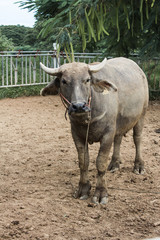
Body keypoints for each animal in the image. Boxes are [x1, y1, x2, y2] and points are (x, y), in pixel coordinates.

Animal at [39, 57, 149, 204]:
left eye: (87, 79)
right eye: (64, 81)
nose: (79, 106)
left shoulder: (107, 134)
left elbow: (100, 163)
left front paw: (101, 193)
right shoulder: (77, 135)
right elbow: (83, 162)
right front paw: (83, 189)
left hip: (141, 114)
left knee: (137, 139)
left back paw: (138, 166)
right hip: (118, 123)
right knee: (118, 139)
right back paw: (114, 163)